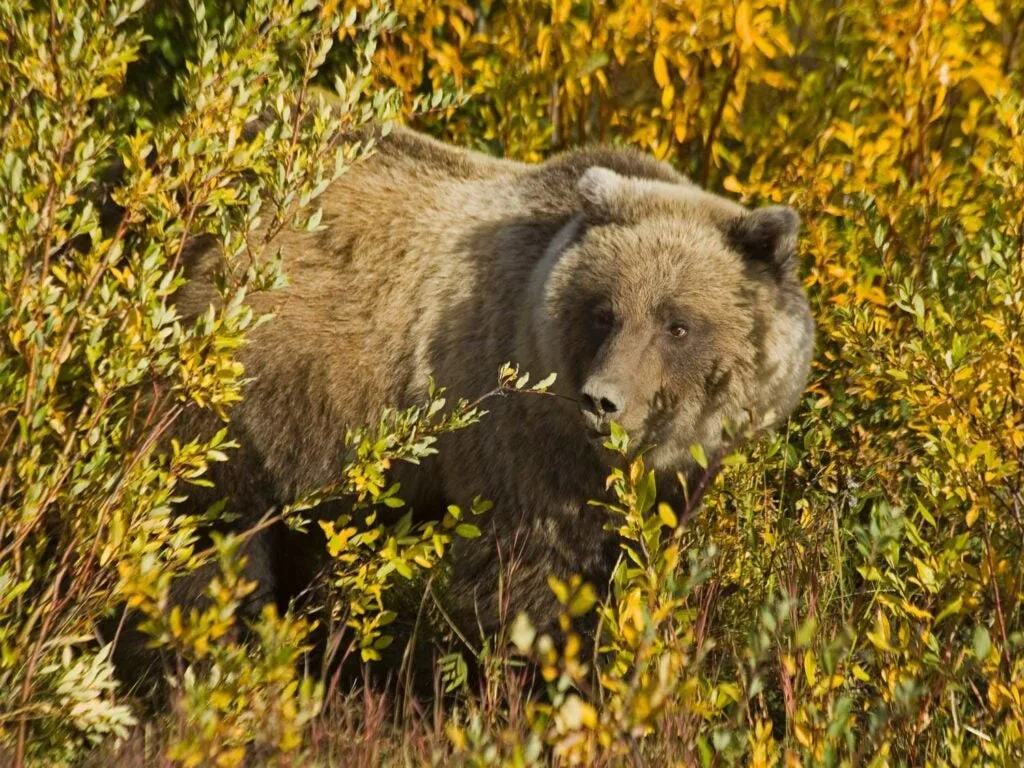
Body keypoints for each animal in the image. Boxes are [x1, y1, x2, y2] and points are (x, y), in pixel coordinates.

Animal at [130, 124, 815, 684]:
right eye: (604, 312)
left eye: (677, 324)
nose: (603, 402)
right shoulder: (518, 438)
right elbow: (529, 578)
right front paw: (544, 678)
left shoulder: (664, 484)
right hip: (234, 390)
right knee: (215, 529)